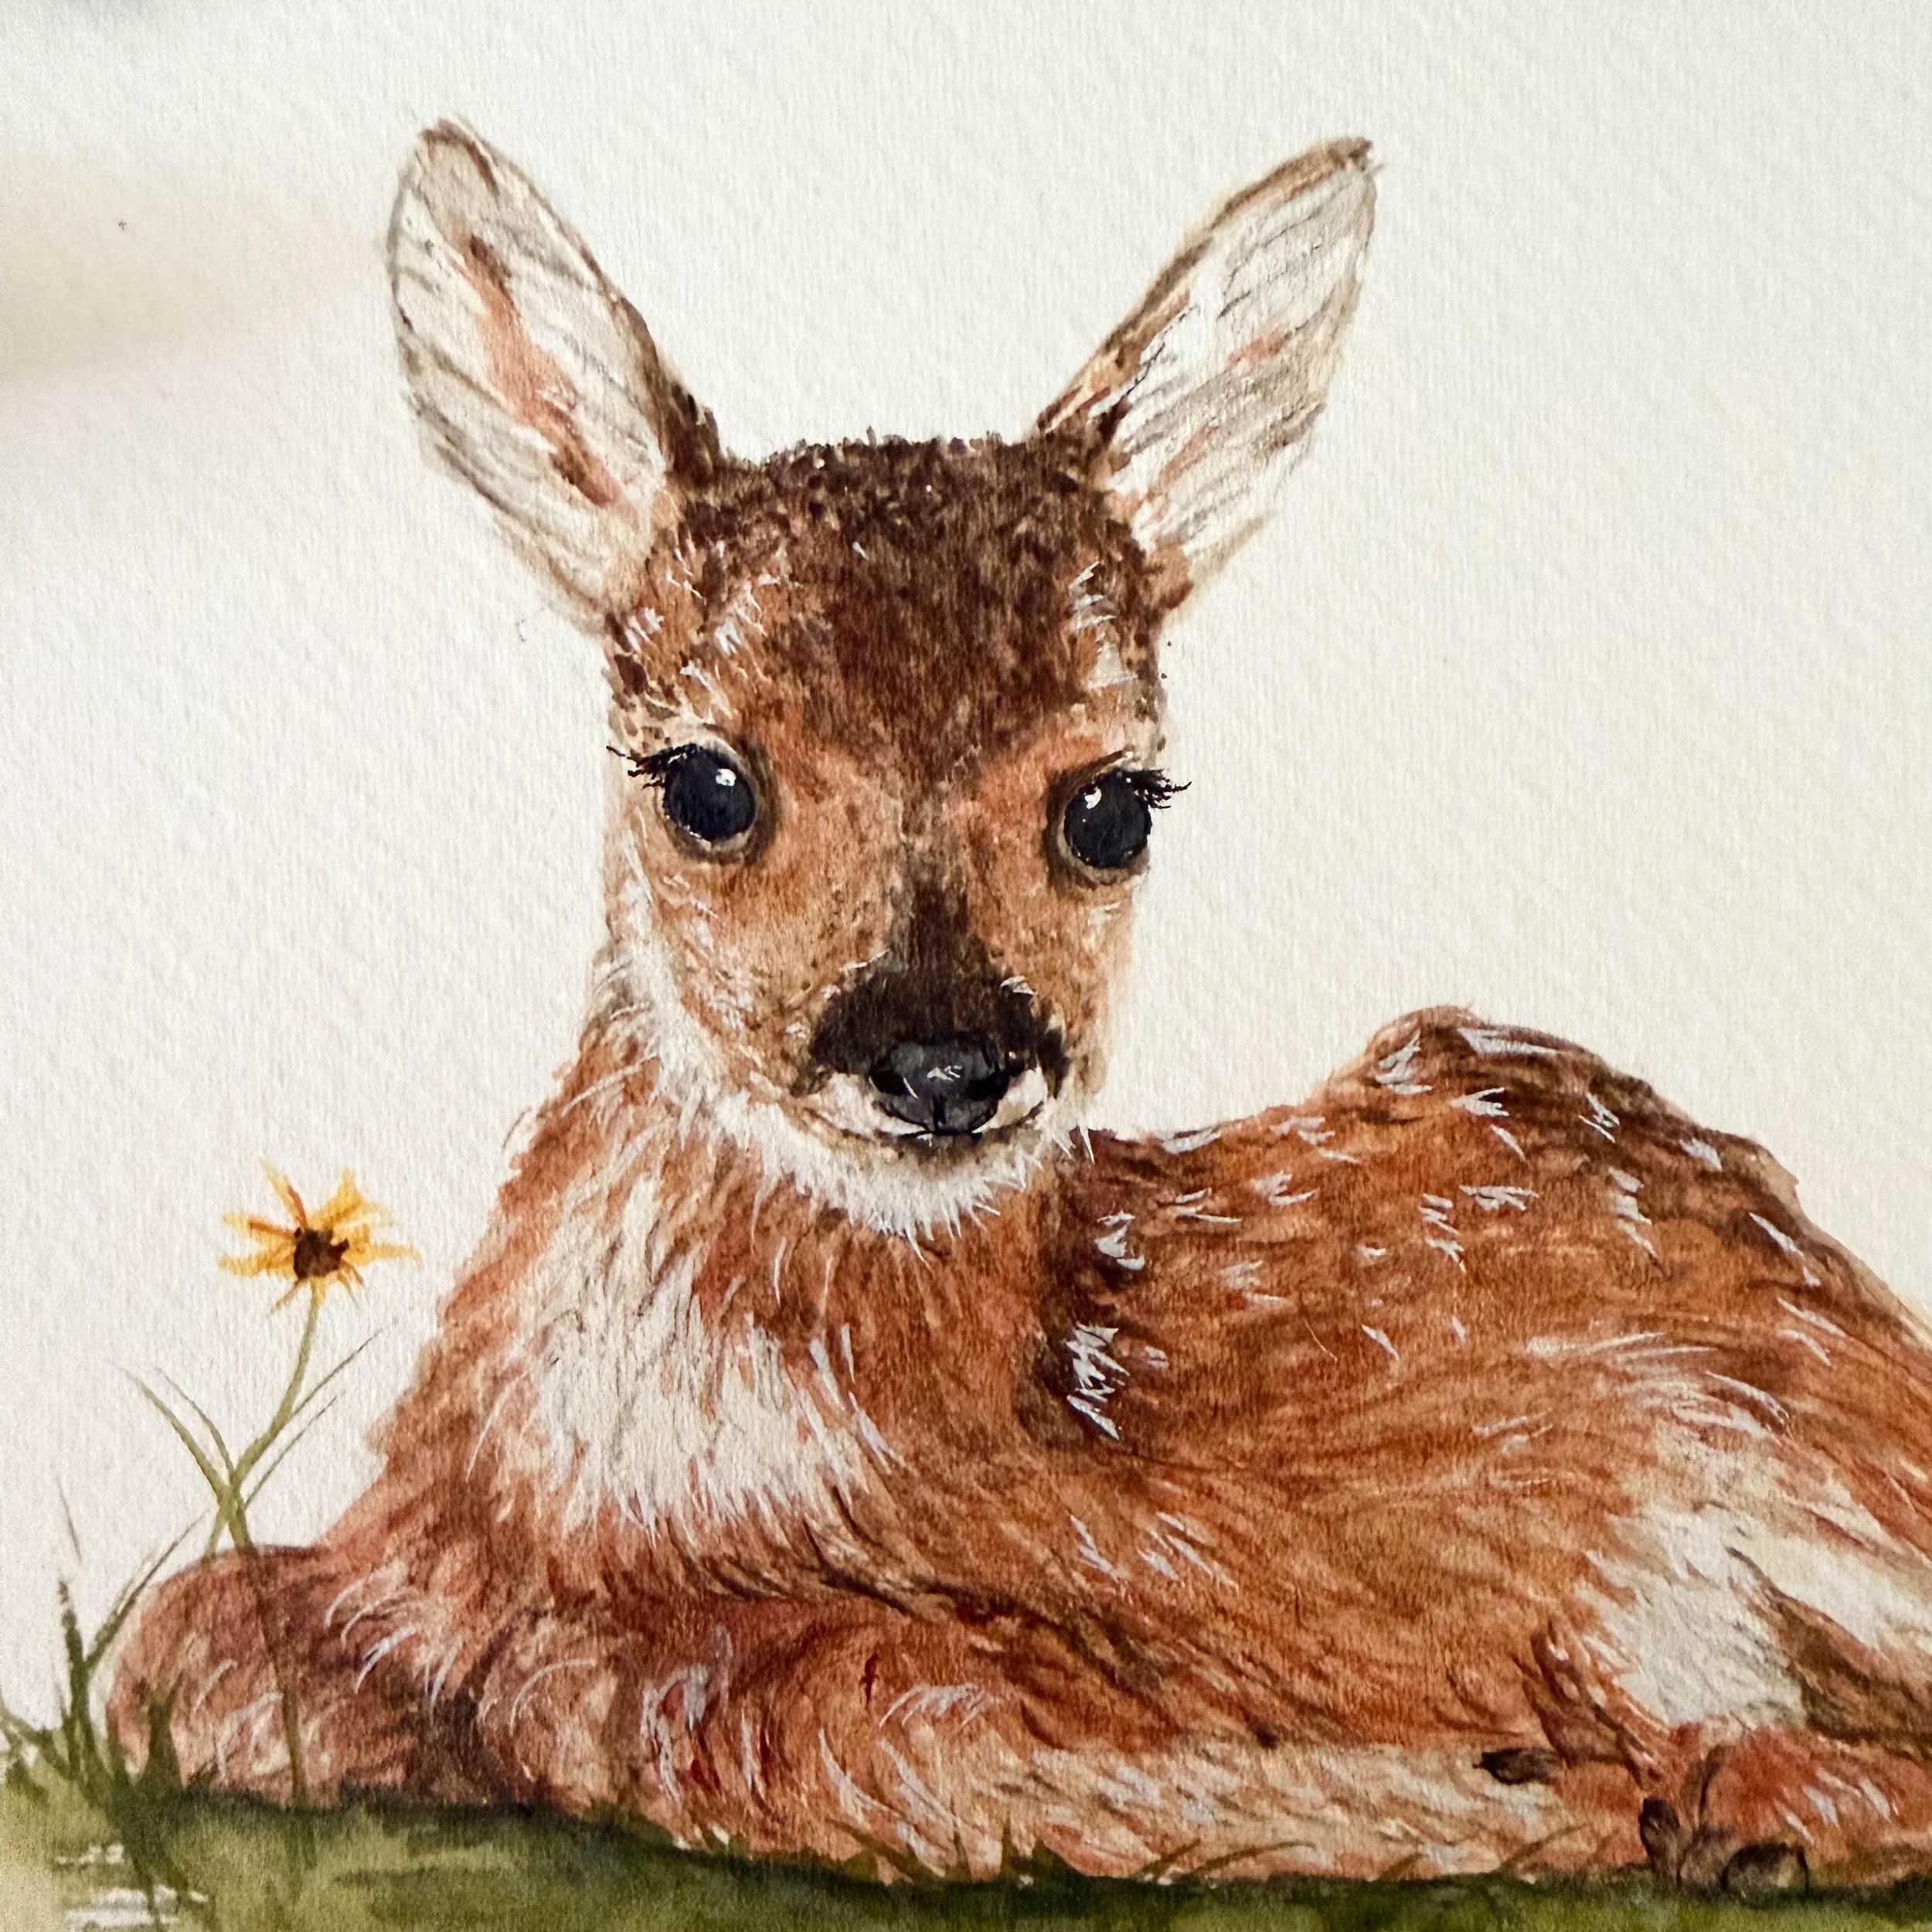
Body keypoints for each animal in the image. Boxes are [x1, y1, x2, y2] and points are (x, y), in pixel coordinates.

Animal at [109, 122, 1932, 1895]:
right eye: (705, 782)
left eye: (1112, 805)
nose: (946, 1061)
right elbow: (177, 1650)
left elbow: (817, 1728)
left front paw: (1537, 1792)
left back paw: (1745, 1795)